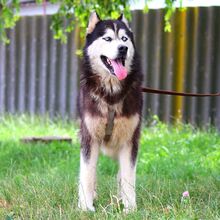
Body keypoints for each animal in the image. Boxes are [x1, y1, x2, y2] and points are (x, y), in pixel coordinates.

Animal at [78, 11, 144, 211]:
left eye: (124, 39)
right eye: (107, 38)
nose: (123, 48)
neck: (111, 94)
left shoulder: (130, 140)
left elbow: (128, 176)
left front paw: (130, 208)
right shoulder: (89, 137)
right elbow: (87, 173)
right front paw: (86, 206)